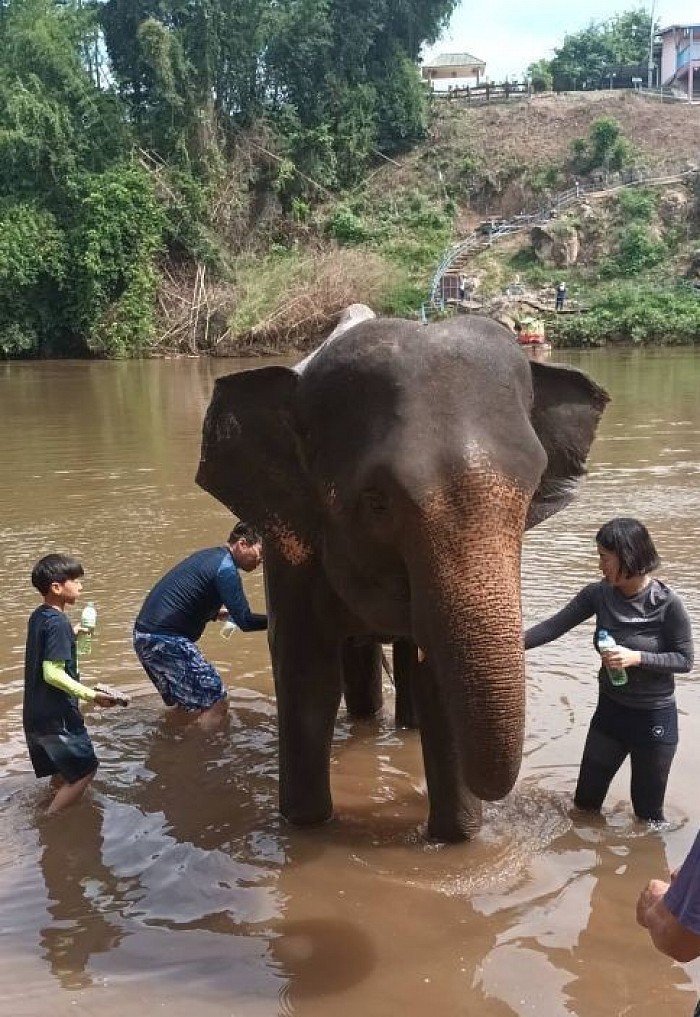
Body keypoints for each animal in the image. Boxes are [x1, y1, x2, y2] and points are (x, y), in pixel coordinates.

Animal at [195, 313, 606, 838]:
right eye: (377, 501)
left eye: (533, 489)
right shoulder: (290, 546)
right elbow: (307, 679)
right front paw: (307, 826)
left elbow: (440, 692)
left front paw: (456, 840)